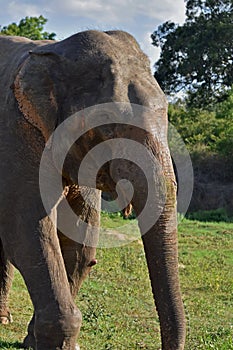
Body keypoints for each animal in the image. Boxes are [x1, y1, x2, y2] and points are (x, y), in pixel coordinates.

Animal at [0, 30, 186, 350]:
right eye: (109, 129)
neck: (55, 51)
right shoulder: (15, 130)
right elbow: (28, 228)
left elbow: (81, 239)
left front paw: (33, 341)